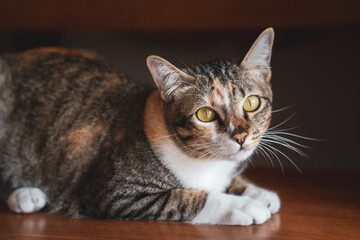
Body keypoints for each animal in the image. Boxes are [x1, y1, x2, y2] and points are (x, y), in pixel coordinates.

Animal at [0, 27, 280, 225]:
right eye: (205, 114)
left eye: (252, 102)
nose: (241, 135)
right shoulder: (116, 192)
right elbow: (187, 197)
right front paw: (242, 205)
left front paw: (258, 193)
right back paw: (24, 195)